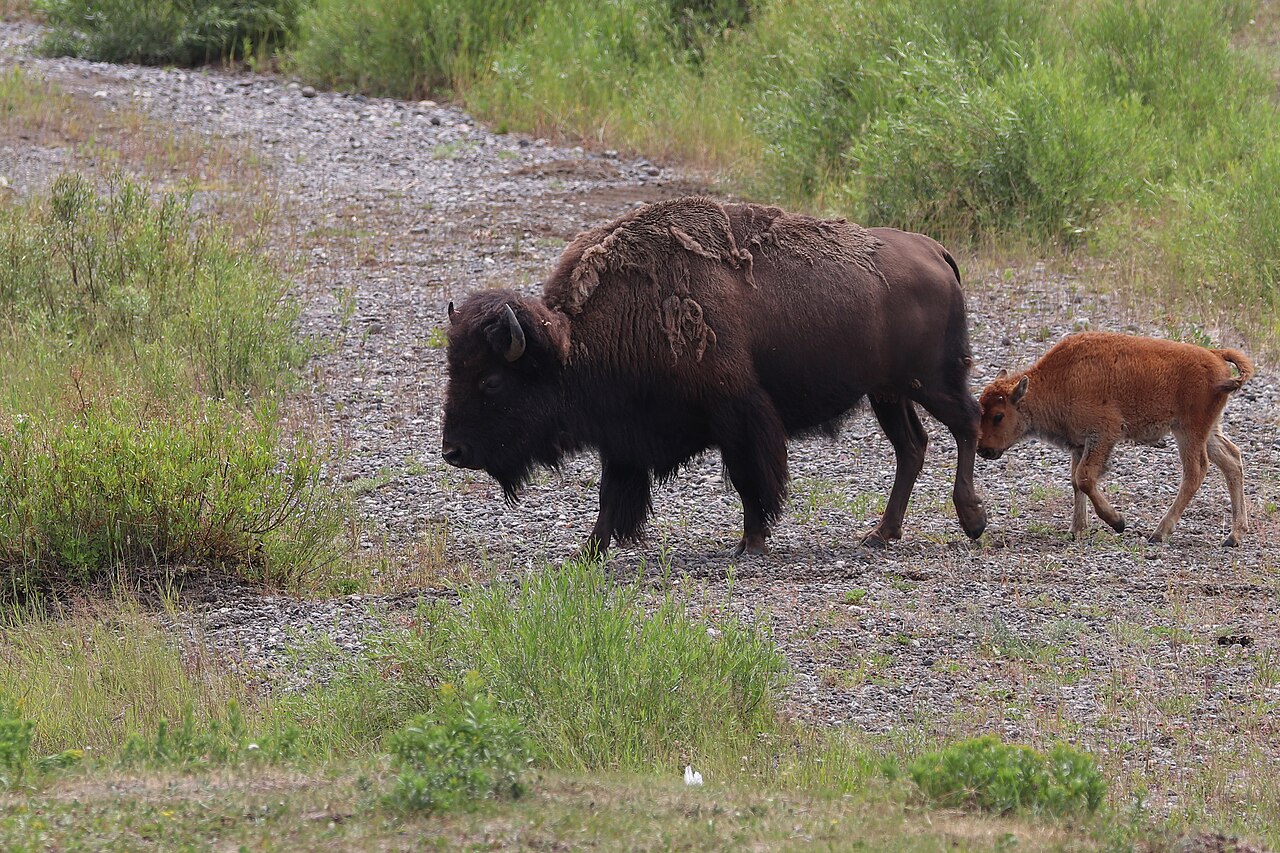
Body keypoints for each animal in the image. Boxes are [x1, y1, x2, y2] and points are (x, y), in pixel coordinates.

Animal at [441, 196, 987, 557]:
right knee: (913, 446)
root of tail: (934, 250)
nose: (453, 452)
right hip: (888, 392)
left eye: (491, 381)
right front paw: (591, 548)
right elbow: (612, 492)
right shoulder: (625, 434)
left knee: (968, 423)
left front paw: (751, 542)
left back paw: (972, 519)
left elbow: (749, 479)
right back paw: (880, 533)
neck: (576, 341)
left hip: (931, 381)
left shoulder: (737, 414)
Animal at [976, 331, 1253, 546]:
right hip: (1208, 431)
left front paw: (1117, 522)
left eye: (998, 415)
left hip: (1188, 431)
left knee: (1195, 472)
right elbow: (1075, 481)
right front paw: (1077, 530)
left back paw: (1159, 533)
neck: (1060, 379)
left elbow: (1084, 478)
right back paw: (1234, 536)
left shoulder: (1104, 434)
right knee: (1232, 460)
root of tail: (1215, 355)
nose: (983, 449)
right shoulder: (1080, 444)